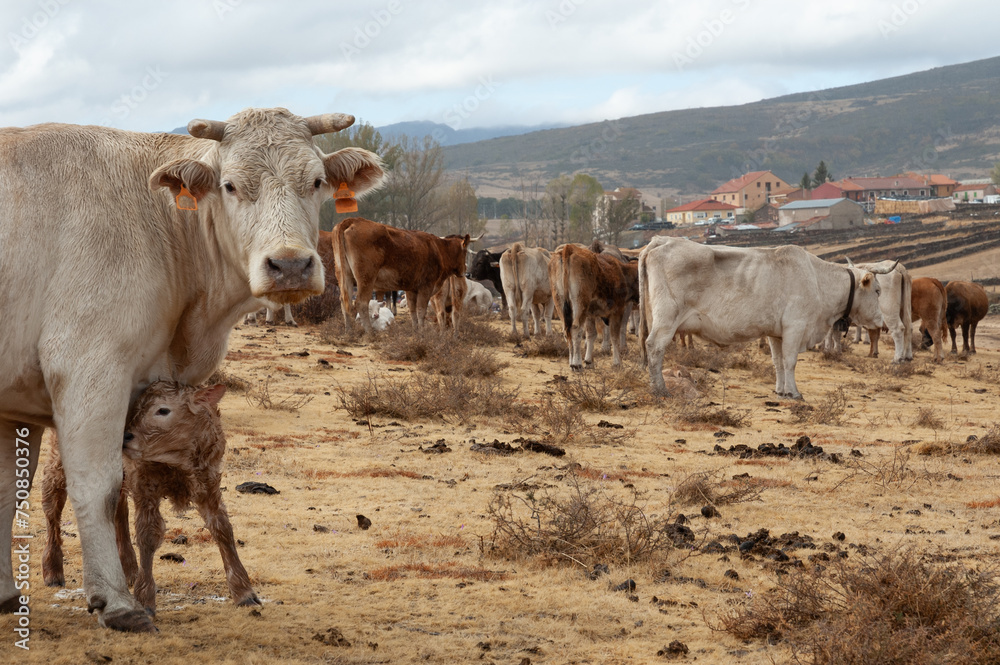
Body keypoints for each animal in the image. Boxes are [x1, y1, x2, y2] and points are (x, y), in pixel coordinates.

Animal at [42, 381, 257, 615]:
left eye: (163, 410)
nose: (125, 436)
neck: (179, 460)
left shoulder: (208, 484)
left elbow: (223, 529)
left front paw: (244, 592)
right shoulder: (145, 484)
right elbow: (148, 534)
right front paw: (145, 599)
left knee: (117, 507)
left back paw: (128, 568)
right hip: (62, 456)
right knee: (52, 500)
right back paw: (52, 570)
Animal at [332, 217, 477, 333]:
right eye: (465, 252)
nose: (465, 271)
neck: (438, 249)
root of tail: (353, 220)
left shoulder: (411, 289)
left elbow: (413, 311)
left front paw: (416, 331)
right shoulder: (426, 287)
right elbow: (421, 311)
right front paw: (422, 332)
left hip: (344, 276)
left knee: (344, 301)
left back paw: (349, 331)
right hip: (366, 279)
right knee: (361, 303)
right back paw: (369, 333)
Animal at [638, 237, 892, 399]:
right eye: (878, 291)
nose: (882, 323)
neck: (817, 279)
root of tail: (662, 240)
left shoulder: (776, 333)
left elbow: (778, 362)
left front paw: (781, 391)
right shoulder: (795, 327)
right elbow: (790, 362)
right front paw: (794, 393)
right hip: (666, 319)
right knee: (654, 347)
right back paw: (660, 390)